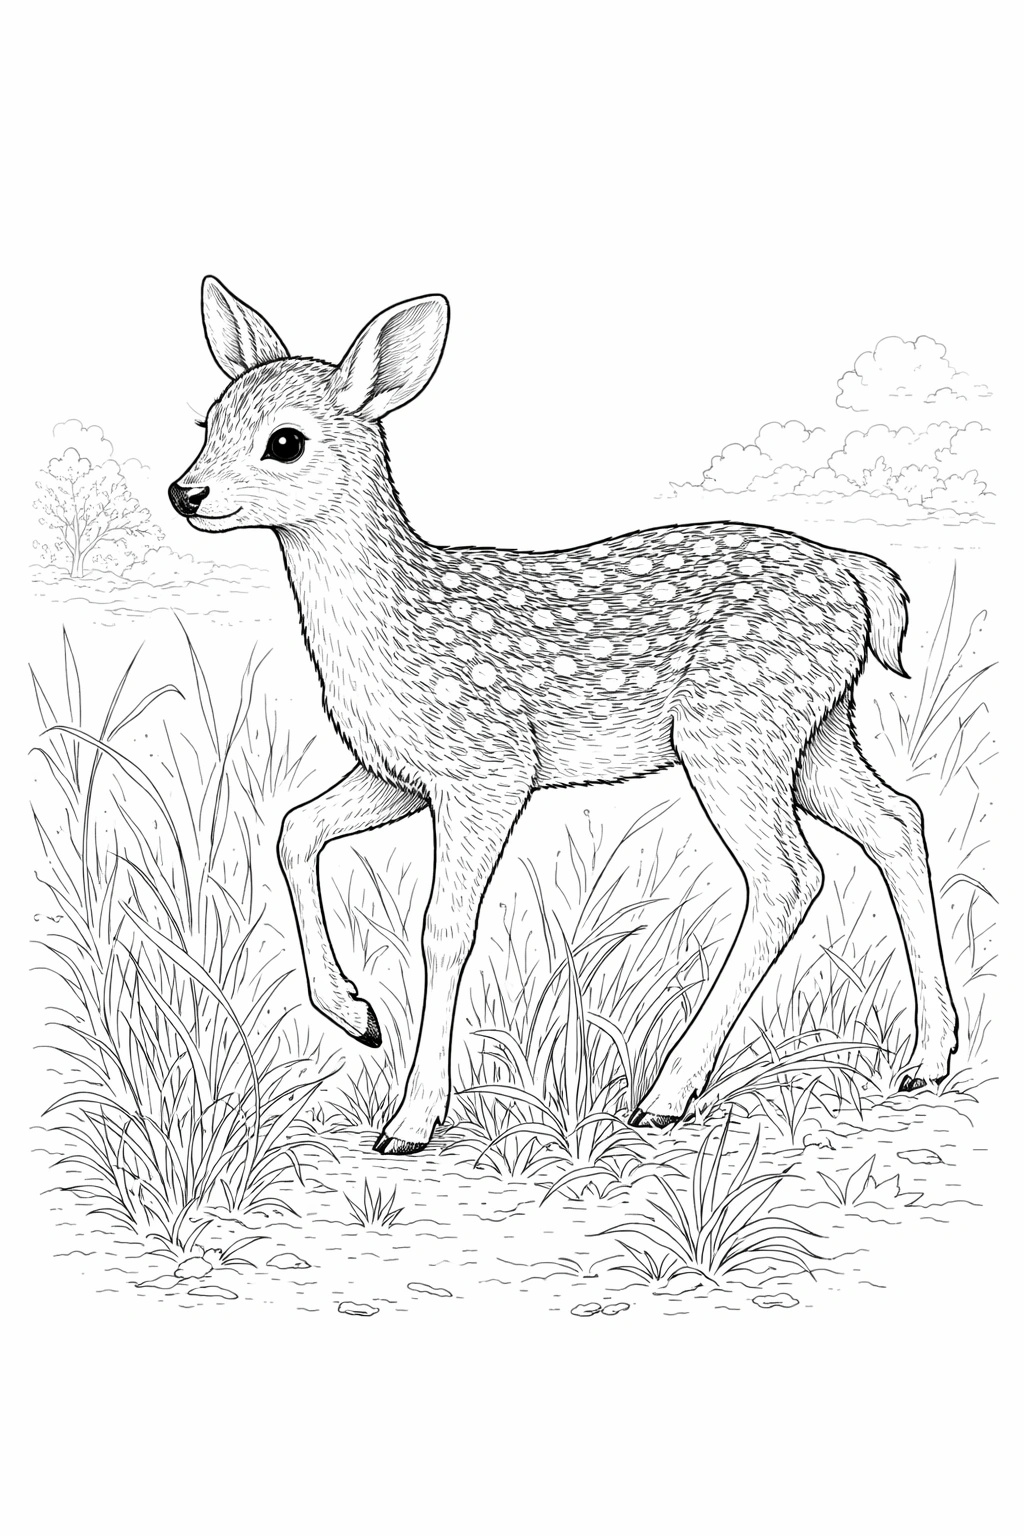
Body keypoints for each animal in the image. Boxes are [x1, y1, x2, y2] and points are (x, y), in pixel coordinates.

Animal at [168, 277, 960, 1155]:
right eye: (206, 422)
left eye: (285, 441)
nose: (185, 492)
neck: (394, 623)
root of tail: (857, 574)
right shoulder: (399, 771)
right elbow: (294, 828)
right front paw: (356, 1015)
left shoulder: (488, 763)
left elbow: (444, 927)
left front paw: (412, 1120)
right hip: (813, 727)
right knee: (896, 819)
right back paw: (928, 1057)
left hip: (734, 722)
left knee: (788, 875)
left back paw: (667, 1094)